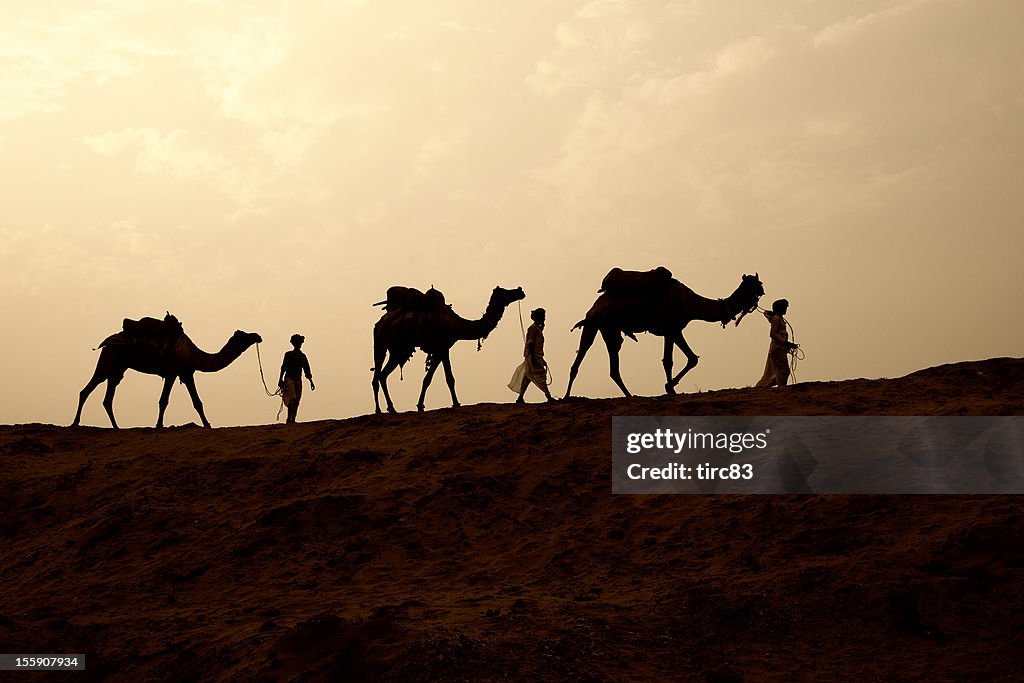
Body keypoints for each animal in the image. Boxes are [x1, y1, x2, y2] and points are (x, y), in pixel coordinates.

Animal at [72, 319, 262, 428]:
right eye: (244, 336)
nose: (258, 336)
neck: (194, 354)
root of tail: (108, 342)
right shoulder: (175, 372)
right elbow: (168, 401)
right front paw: (160, 425)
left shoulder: (184, 373)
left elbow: (193, 402)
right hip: (108, 361)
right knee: (86, 390)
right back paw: (75, 423)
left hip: (118, 369)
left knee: (107, 398)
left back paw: (117, 427)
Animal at [370, 286, 528, 413]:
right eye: (505, 292)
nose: (520, 290)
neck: (456, 324)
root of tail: (380, 322)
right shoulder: (443, 346)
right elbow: (448, 378)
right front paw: (456, 403)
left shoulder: (440, 349)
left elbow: (428, 379)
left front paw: (421, 405)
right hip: (381, 344)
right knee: (377, 375)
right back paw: (379, 409)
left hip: (398, 350)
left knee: (382, 375)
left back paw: (390, 408)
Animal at [565, 270, 765, 397]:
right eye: (755, 285)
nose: (763, 290)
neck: (690, 304)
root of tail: (595, 304)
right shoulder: (671, 328)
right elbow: (672, 360)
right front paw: (670, 387)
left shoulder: (675, 330)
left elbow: (689, 359)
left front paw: (670, 386)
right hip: (594, 323)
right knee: (583, 353)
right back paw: (566, 397)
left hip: (609, 329)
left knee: (612, 367)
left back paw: (629, 395)